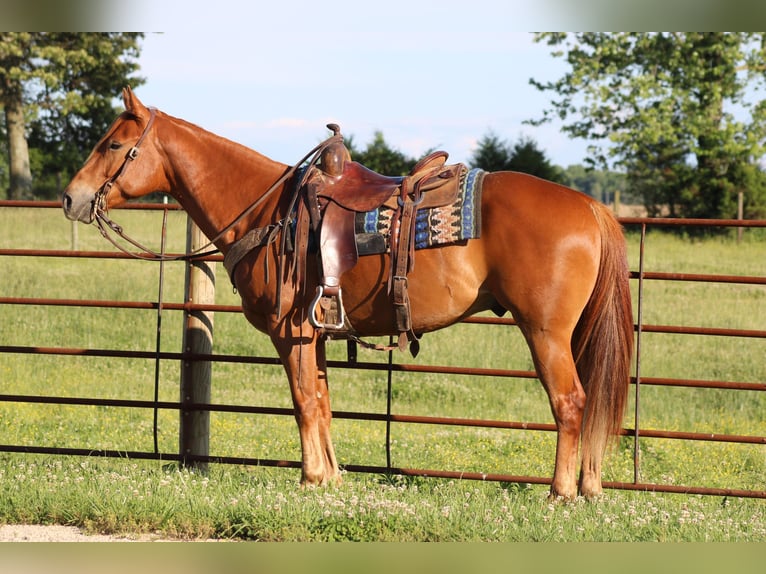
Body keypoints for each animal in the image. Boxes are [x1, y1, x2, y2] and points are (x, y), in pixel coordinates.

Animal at [63, 88, 632, 502]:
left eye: (111, 145)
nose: (71, 198)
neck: (267, 212)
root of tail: (591, 206)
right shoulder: (314, 334)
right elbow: (322, 401)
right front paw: (333, 477)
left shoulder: (290, 333)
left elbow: (302, 402)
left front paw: (311, 478)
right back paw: (590, 488)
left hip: (545, 331)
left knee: (571, 402)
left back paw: (560, 493)